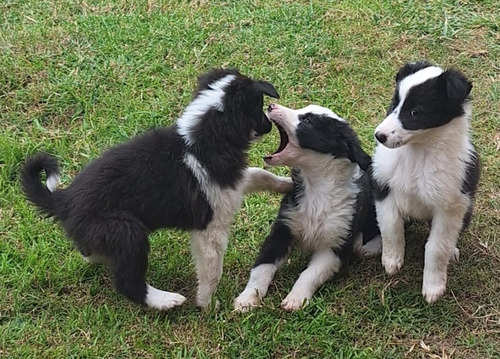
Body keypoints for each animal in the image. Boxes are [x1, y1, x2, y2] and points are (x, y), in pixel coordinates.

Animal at [20, 69, 292, 310]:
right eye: (258, 106)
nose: (268, 125)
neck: (203, 138)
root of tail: (63, 200)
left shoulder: (232, 182)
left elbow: (260, 174)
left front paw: (287, 184)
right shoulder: (210, 227)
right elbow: (212, 270)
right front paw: (208, 304)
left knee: (90, 252)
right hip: (125, 230)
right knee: (128, 282)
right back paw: (165, 300)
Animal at [234, 103, 378, 312]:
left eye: (307, 120)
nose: (270, 105)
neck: (317, 186)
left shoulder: (334, 246)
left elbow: (310, 274)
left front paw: (296, 298)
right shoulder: (281, 231)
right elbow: (261, 267)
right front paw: (247, 298)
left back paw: (366, 246)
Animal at [372, 61, 480, 304]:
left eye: (415, 112)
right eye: (394, 102)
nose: (379, 136)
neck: (418, 153)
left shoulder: (450, 207)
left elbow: (437, 248)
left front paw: (433, 287)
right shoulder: (383, 187)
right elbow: (391, 226)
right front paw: (391, 260)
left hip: (467, 210)